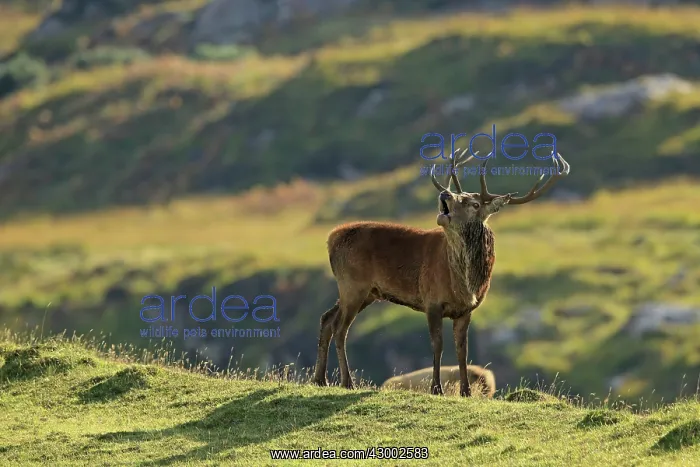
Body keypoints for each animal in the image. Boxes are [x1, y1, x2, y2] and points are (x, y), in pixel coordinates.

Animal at [312, 148, 570, 396]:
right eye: (460, 196)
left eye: (474, 204)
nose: (445, 194)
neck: (465, 285)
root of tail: (330, 238)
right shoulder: (432, 300)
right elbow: (438, 344)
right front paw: (437, 388)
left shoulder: (467, 309)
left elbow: (462, 349)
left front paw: (465, 391)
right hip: (353, 284)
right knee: (340, 329)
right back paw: (347, 382)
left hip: (367, 292)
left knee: (327, 319)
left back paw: (320, 379)